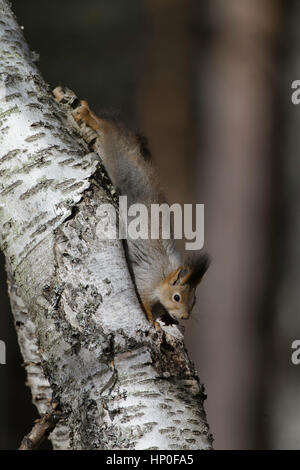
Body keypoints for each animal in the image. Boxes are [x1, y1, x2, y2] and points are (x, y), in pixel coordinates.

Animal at [72, 99, 210, 326]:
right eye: (177, 297)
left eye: (195, 300)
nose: (185, 317)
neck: (164, 276)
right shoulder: (145, 279)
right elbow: (143, 302)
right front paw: (153, 322)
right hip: (113, 151)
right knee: (105, 127)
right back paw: (88, 115)